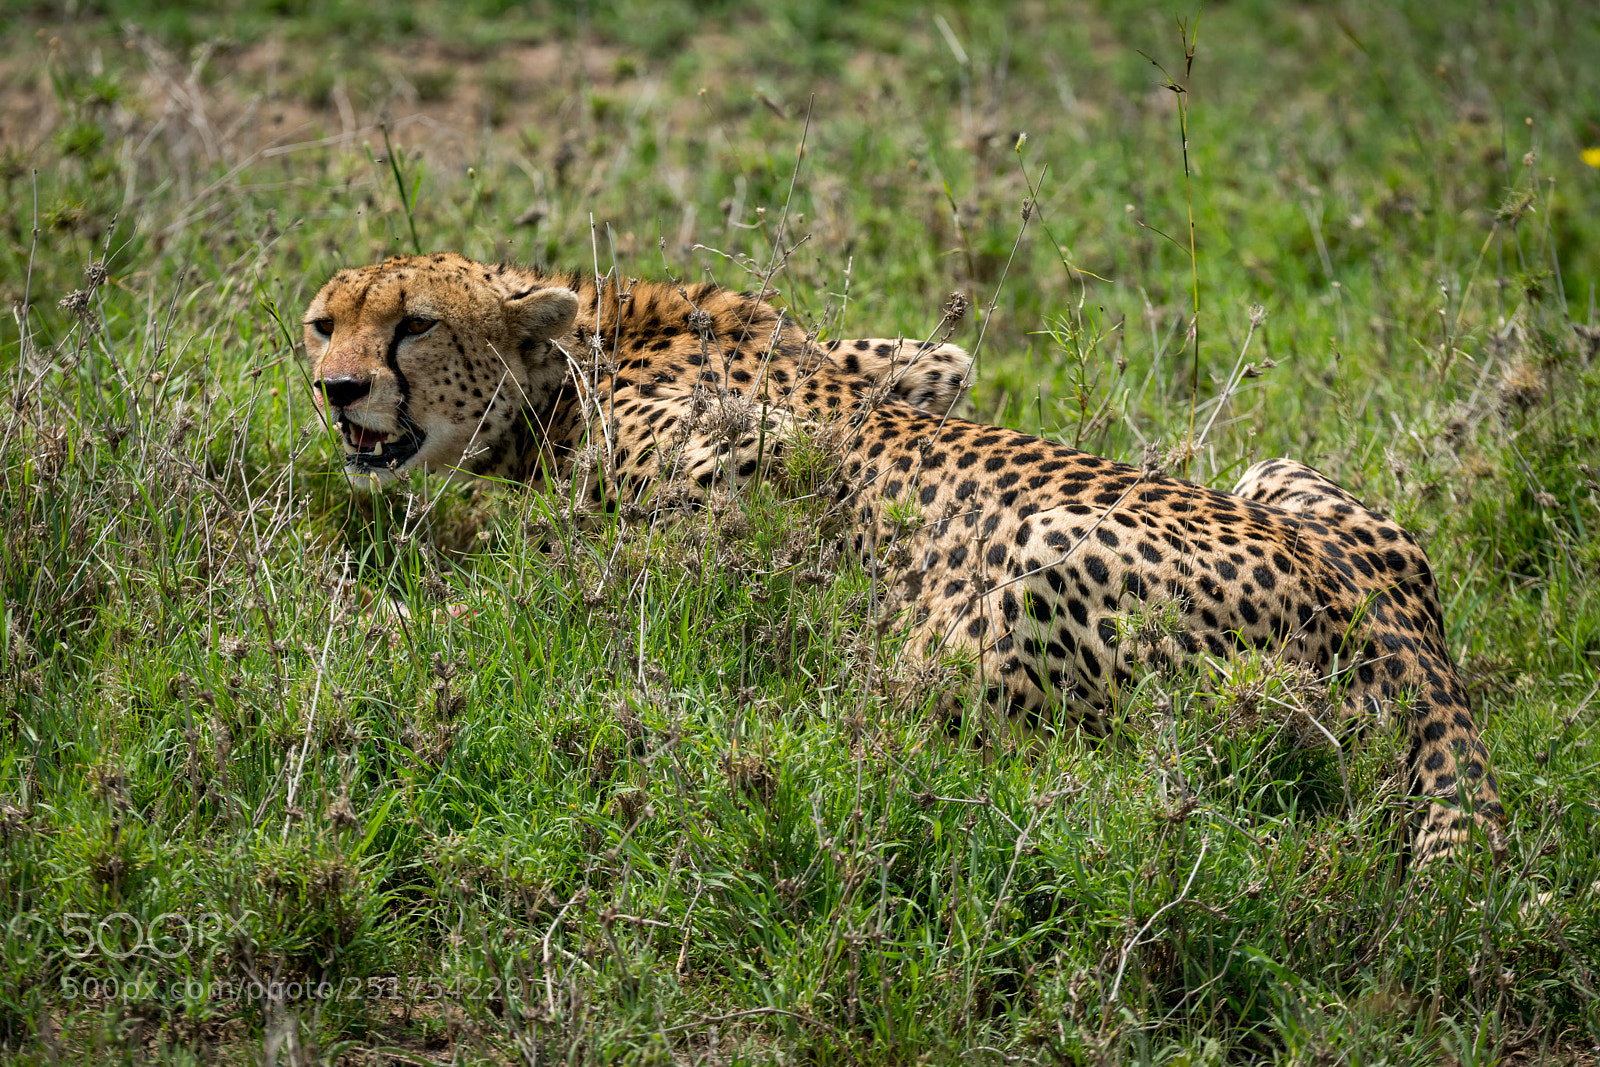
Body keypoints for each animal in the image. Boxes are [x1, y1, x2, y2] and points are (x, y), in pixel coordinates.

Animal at [304, 252, 1504, 862]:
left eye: (414, 323)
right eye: (323, 323)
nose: (336, 388)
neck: (583, 347)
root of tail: (1405, 640)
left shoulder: (764, 449)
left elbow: (593, 556)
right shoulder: (915, 366)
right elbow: (927, 369)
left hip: (1047, 559)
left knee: (1079, 764)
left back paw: (868, 711)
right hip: (1284, 473)